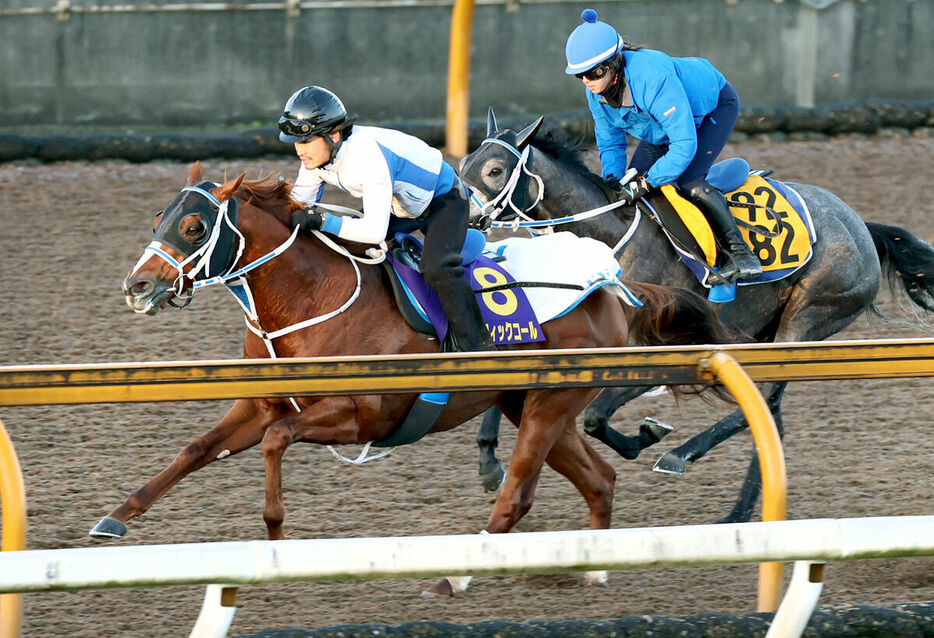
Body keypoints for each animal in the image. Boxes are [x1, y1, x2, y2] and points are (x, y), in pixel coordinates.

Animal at [97, 162, 740, 596]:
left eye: (193, 225)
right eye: (158, 217)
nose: (136, 286)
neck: (311, 297)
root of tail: (611, 283)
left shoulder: (360, 415)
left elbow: (277, 443)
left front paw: (277, 541)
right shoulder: (261, 404)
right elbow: (194, 449)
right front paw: (114, 519)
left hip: (548, 405)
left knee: (516, 493)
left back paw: (457, 578)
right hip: (529, 403)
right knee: (600, 480)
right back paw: (598, 565)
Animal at [460, 110, 934, 524]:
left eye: (496, 170)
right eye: (463, 165)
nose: (463, 222)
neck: (608, 237)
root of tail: (861, 226)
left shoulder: (669, 344)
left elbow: (596, 417)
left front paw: (647, 437)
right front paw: (488, 462)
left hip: (809, 315)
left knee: (764, 399)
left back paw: (680, 457)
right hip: (762, 334)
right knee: (768, 410)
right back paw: (740, 512)